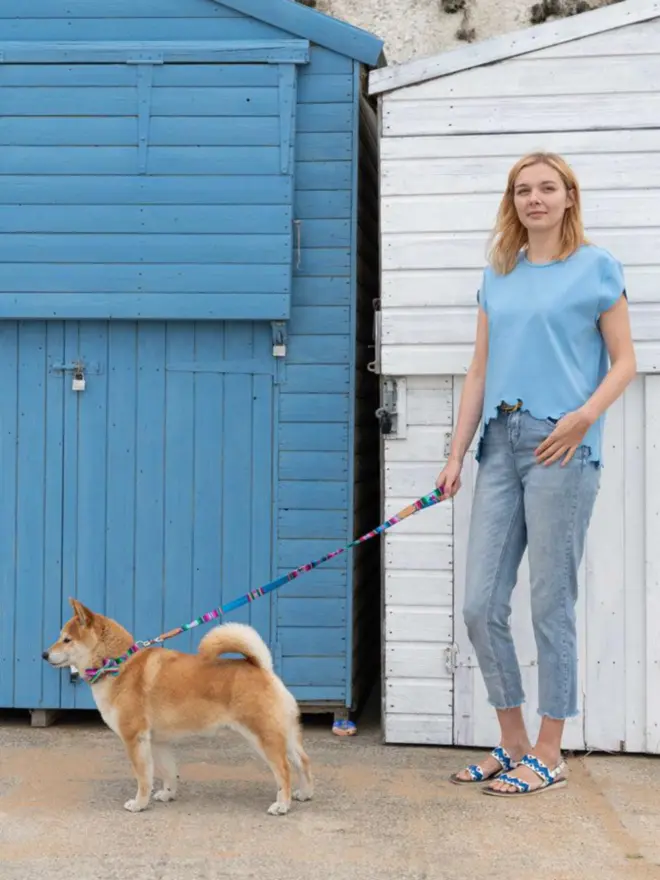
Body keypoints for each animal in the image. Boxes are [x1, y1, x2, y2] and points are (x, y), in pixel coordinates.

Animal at [42, 600, 314, 820]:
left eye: (66, 639)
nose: (44, 654)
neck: (118, 665)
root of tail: (262, 667)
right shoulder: (157, 741)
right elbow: (168, 771)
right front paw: (167, 794)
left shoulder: (134, 738)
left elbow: (143, 777)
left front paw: (139, 804)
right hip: (285, 734)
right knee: (303, 761)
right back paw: (305, 793)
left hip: (263, 737)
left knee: (284, 770)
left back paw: (282, 805)